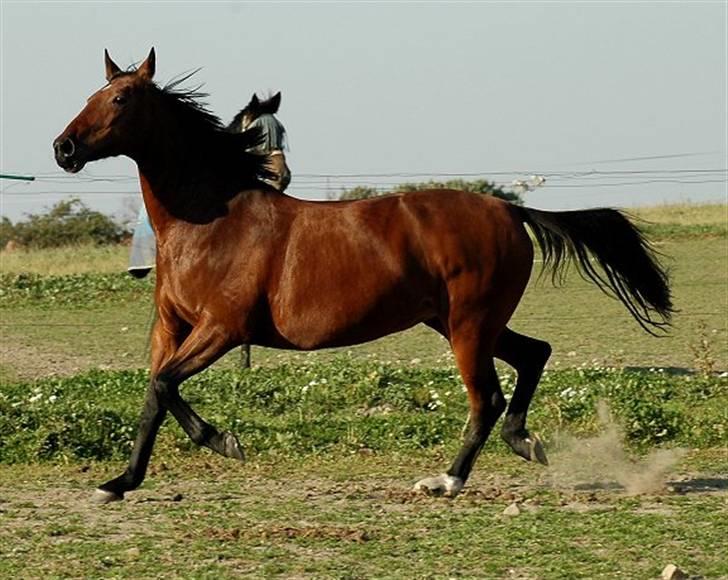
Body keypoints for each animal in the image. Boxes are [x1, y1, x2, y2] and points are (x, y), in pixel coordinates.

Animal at [54, 48, 672, 502]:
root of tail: (509, 208)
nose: (63, 148)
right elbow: (153, 395)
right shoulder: (172, 327)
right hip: (461, 322)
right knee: (533, 355)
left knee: (487, 397)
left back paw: (448, 480)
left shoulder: (222, 329)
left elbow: (164, 385)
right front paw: (120, 482)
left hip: (469, 325)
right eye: (90, 95)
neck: (211, 219)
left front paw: (223, 442)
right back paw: (524, 441)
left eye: (121, 98)